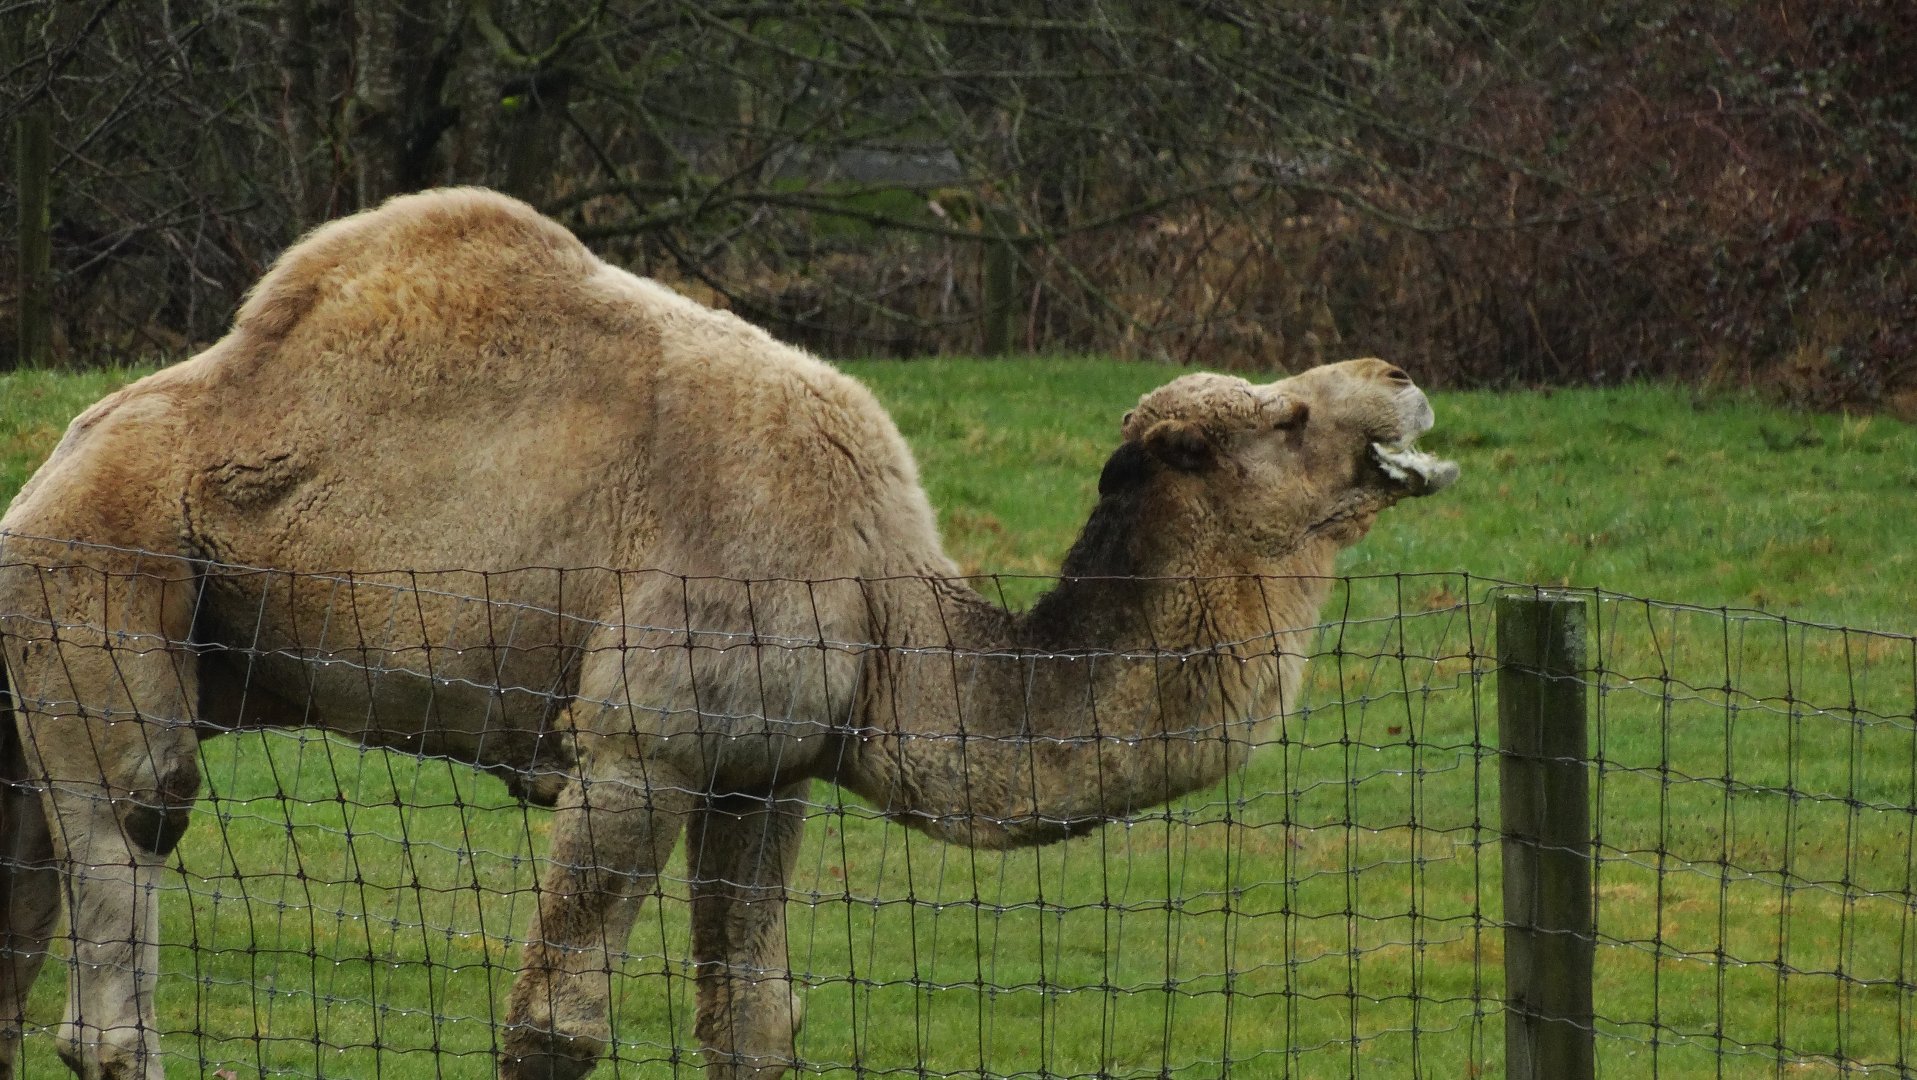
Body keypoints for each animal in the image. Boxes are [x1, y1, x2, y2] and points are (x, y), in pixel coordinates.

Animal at [0, 188, 1457, 1080]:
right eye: (1281, 417)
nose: (1397, 371)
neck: (887, 596)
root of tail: (47, 469)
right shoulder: (639, 747)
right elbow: (555, 1024)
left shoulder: (767, 768)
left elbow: (751, 1021)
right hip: (95, 584)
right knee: (131, 873)